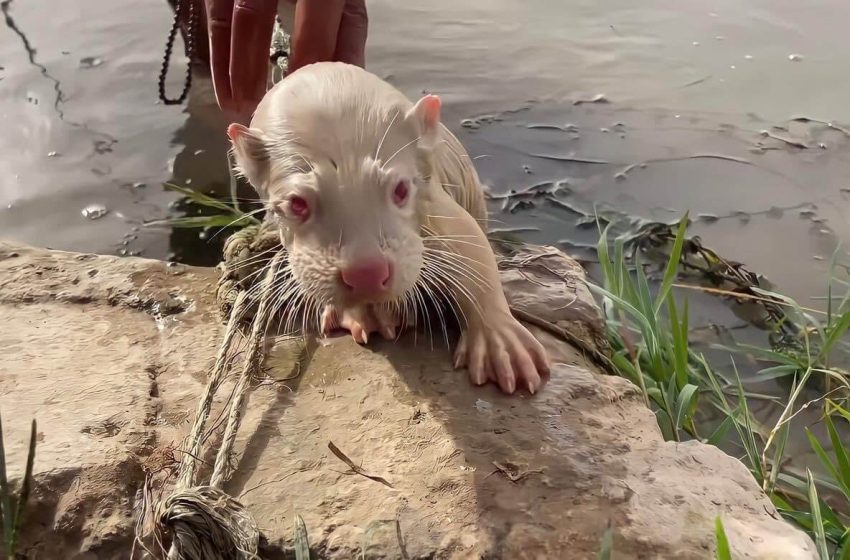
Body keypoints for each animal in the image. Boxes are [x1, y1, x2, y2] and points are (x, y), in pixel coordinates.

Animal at [227, 62, 548, 394]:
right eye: (297, 204)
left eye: (401, 190)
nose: (366, 273)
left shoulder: (433, 201)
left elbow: (471, 244)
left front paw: (501, 340)